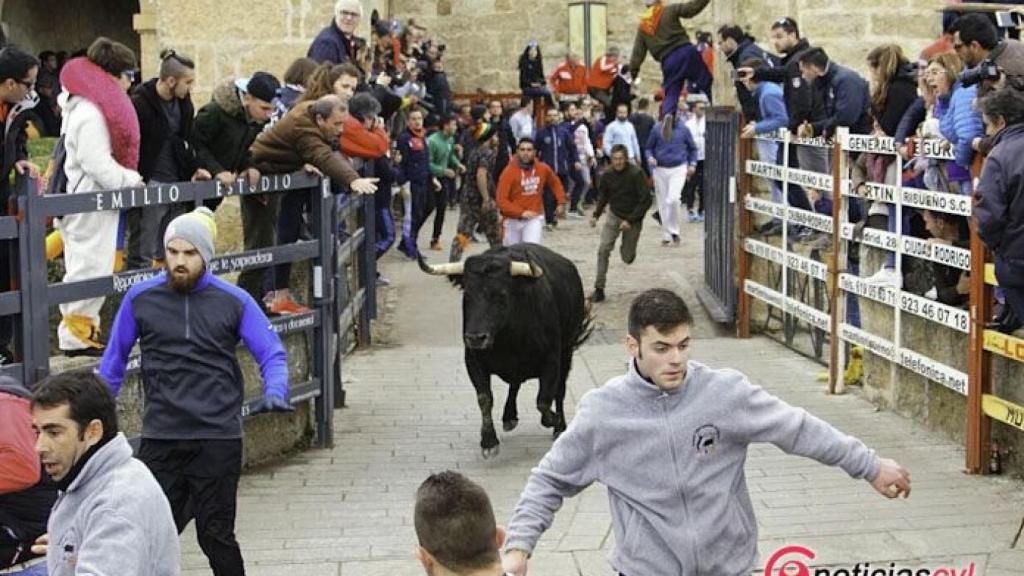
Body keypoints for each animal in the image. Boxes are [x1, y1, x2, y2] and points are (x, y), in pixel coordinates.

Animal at [415, 242, 593, 457]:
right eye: (467, 294)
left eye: (500, 295)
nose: (475, 338)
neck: (508, 339)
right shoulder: (473, 360)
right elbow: (485, 398)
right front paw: (489, 441)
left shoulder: (551, 361)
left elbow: (543, 400)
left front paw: (554, 421)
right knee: (515, 384)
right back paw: (509, 417)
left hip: (567, 351)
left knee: (559, 389)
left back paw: (559, 427)